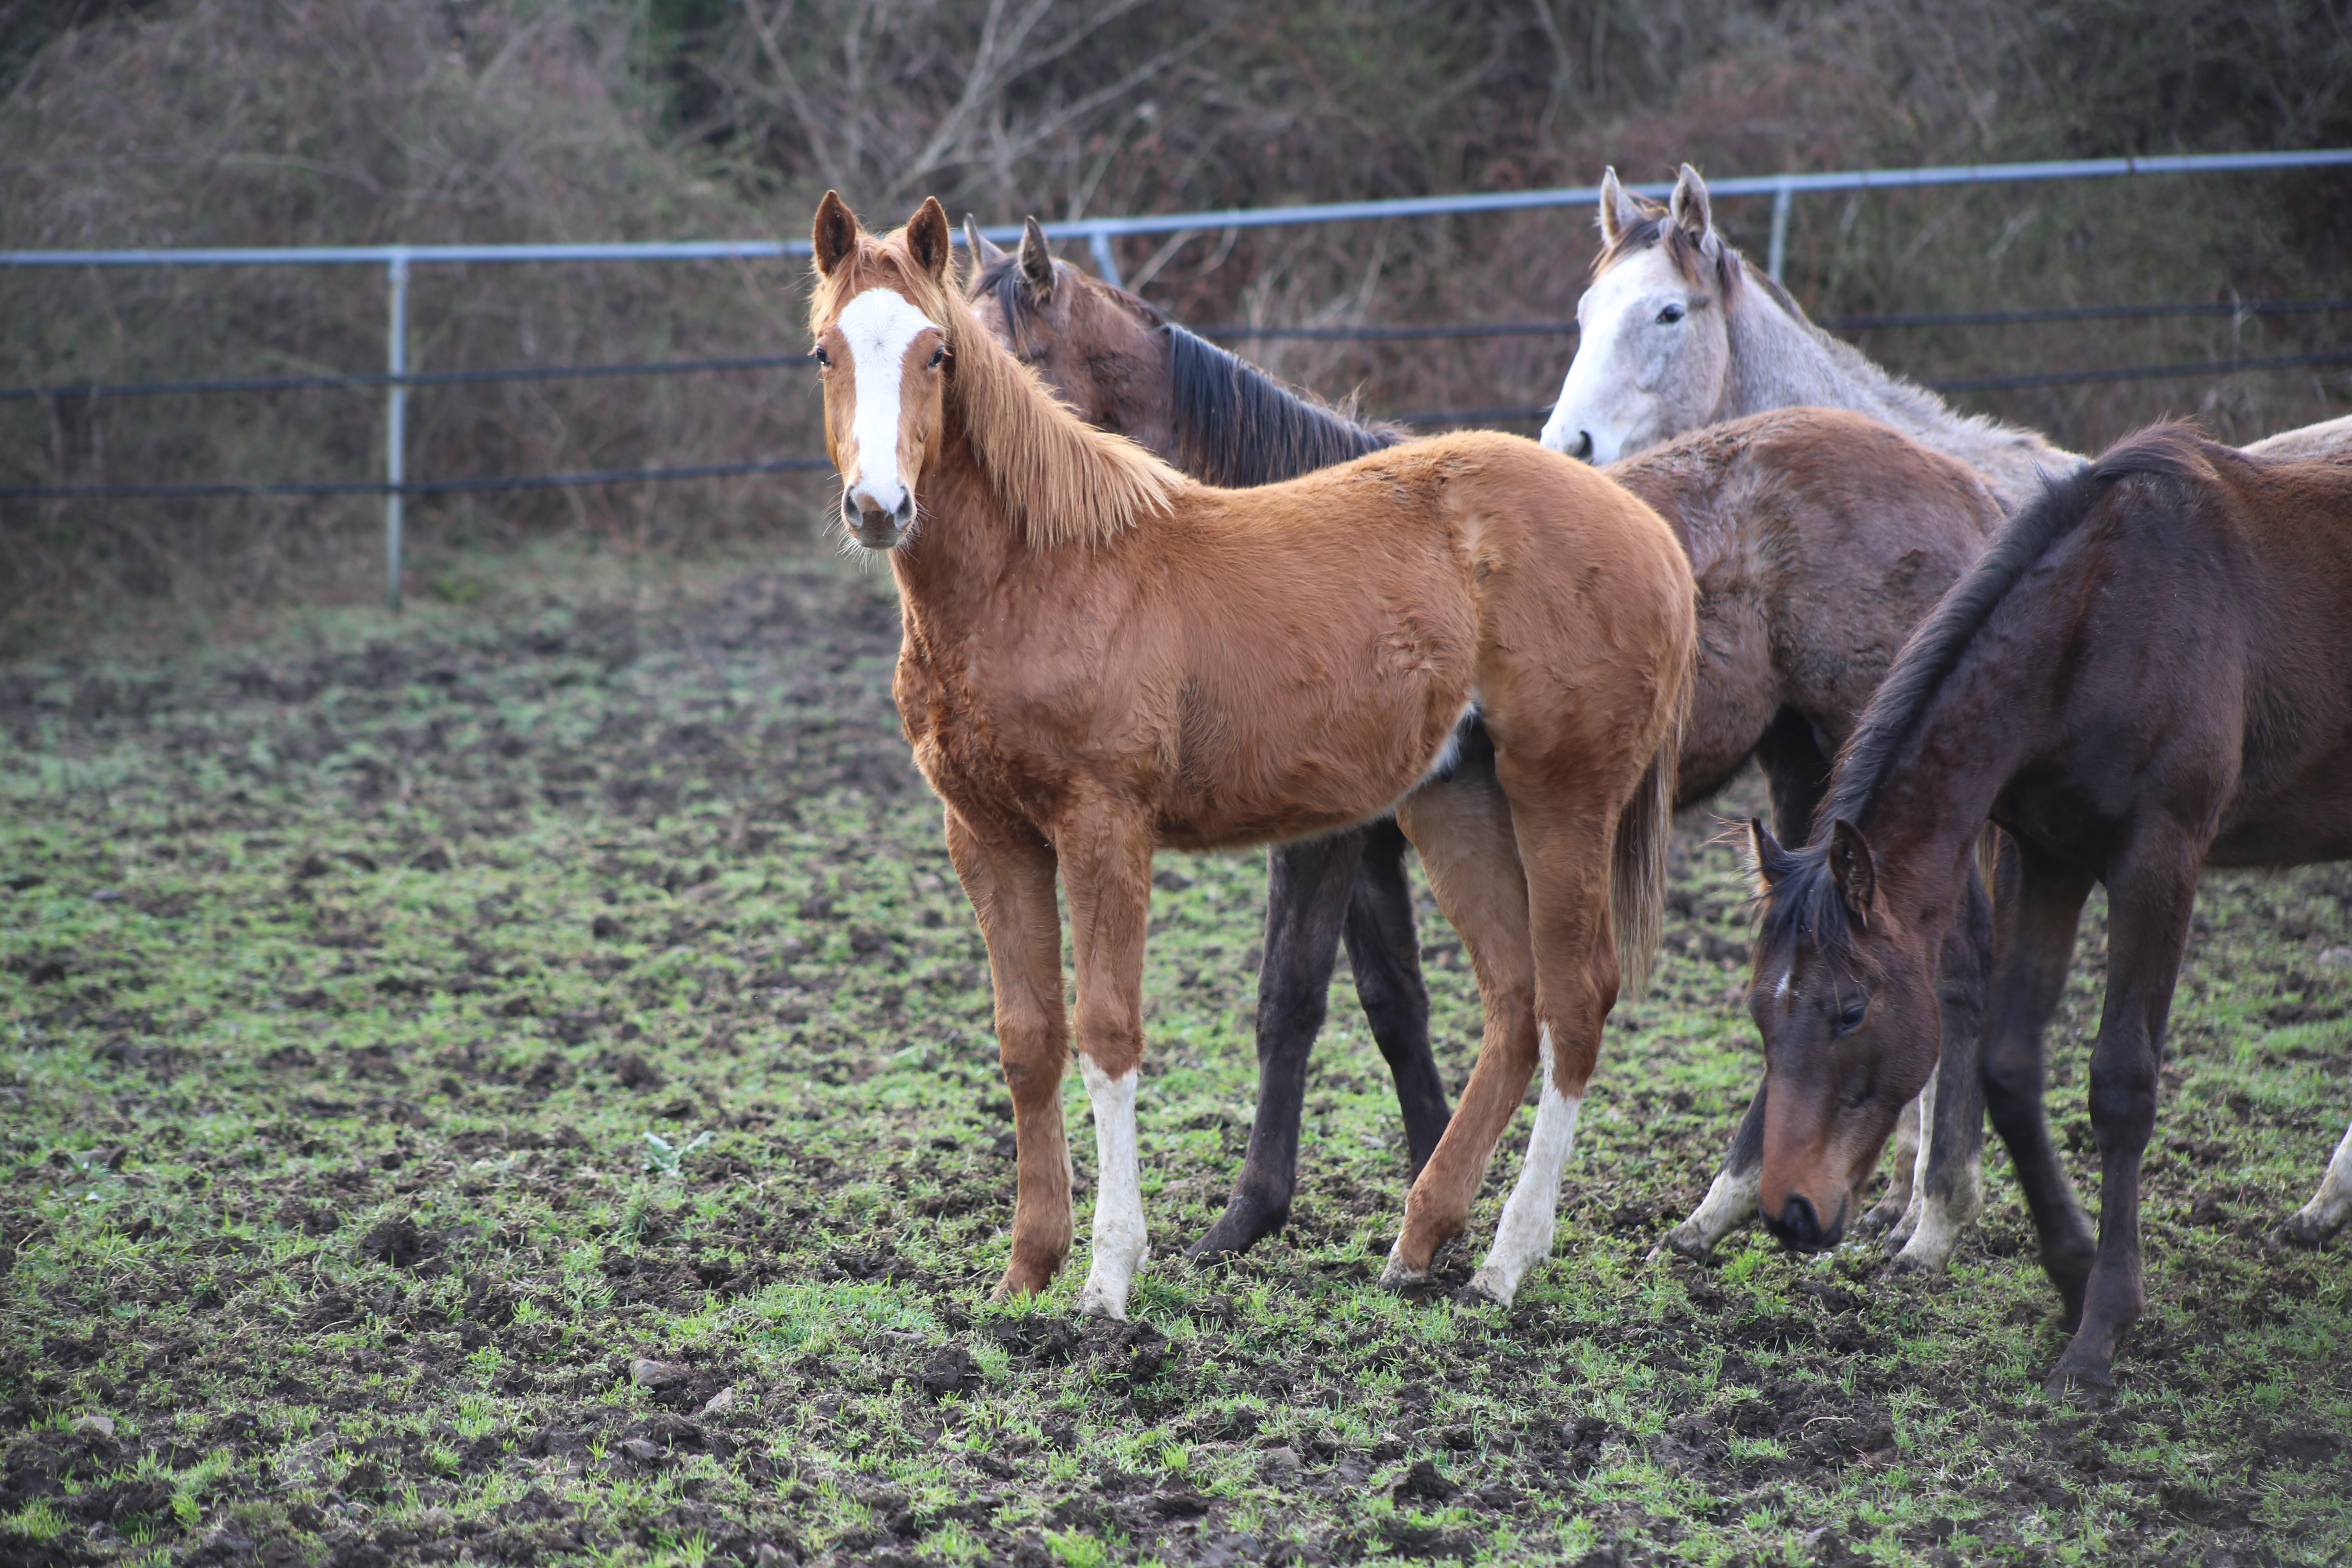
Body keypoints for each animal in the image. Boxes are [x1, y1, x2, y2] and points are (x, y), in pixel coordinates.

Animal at [964, 217, 2013, 1278]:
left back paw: (1926, 1218)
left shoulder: (1322, 840)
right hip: (1806, 773)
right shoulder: (1373, 836)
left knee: (1957, 965)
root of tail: (1965, 489)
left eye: (1014, 360)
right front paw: (1434, 1176)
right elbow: (1394, 1002)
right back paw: (1757, 1209)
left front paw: (1249, 1213)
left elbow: (1288, 1002)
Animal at [1750, 423, 2352, 1392]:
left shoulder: (2157, 861)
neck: (2100, 624)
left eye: (1850, 1010)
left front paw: (2101, 1329)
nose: (1790, 1211)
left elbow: (2121, 1086)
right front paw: (2071, 1274)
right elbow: (2007, 1069)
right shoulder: (2046, 858)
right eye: (1760, 1015)